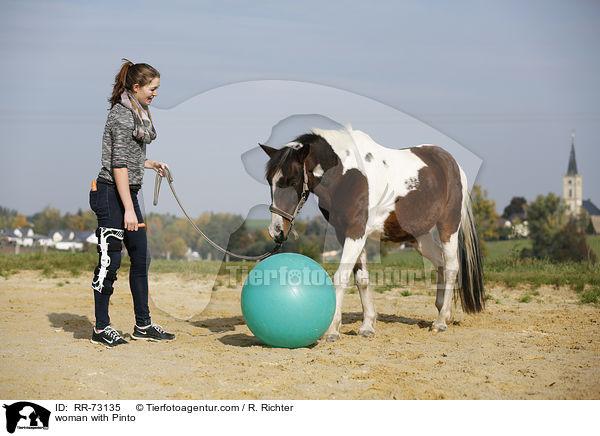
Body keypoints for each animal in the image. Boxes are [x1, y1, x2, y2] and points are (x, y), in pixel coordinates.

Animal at [260, 126, 486, 340]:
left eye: (293, 180)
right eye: (269, 180)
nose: (276, 231)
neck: (345, 175)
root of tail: (451, 164)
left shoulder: (356, 232)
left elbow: (341, 277)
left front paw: (332, 330)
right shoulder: (345, 233)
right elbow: (361, 279)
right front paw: (367, 326)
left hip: (448, 225)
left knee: (451, 267)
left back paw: (440, 322)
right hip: (419, 236)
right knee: (440, 262)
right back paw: (442, 311)